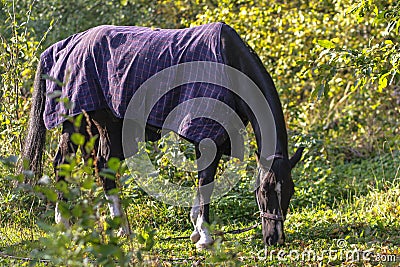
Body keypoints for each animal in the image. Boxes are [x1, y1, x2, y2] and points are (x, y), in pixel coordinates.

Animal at [21, 23, 304, 249]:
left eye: (290, 190)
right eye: (265, 190)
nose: (275, 239)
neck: (229, 63)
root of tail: (68, 45)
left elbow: (203, 181)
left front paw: (195, 228)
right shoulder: (206, 133)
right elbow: (206, 182)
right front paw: (204, 236)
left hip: (89, 125)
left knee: (86, 165)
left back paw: (106, 225)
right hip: (91, 123)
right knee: (78, 165)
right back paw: (76, 223)